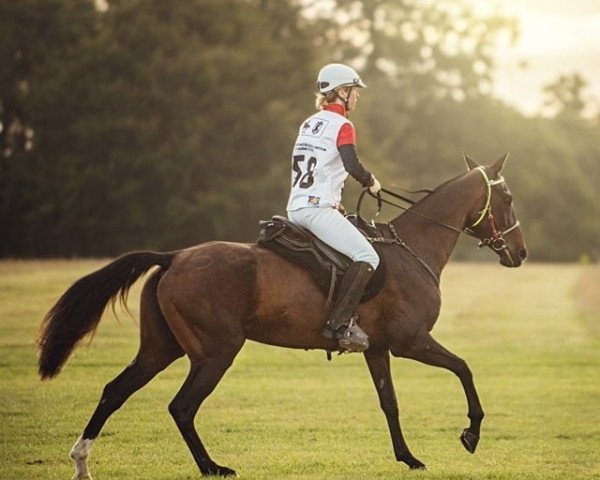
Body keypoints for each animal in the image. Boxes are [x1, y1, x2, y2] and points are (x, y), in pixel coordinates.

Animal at [38, 153, 524, 476]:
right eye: (507, 198)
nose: (519, 253)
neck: (413, 249)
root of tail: (173, 257)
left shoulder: (379, 349)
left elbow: (390, 403)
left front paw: (408, 457)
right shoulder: (411, 342)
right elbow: (464, 369)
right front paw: (471, 435)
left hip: (161, 349)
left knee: (114, 391)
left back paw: (82, 461)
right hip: (216, 352)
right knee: (182, 406)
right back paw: (212, 466)